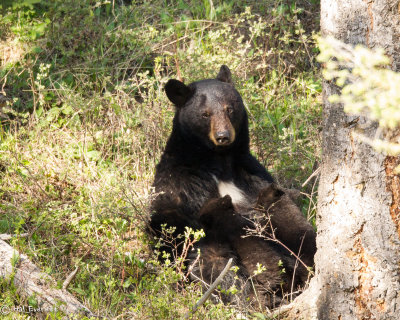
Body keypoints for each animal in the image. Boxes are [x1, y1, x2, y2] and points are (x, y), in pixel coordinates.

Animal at [148, 65, 316, 308]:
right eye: (205, 114)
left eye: (230, 108)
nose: (223, 136)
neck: (220, 163)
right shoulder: (185, 184)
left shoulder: (251, 174)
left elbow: (282, 209)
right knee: (217, 267)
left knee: (299, 232)